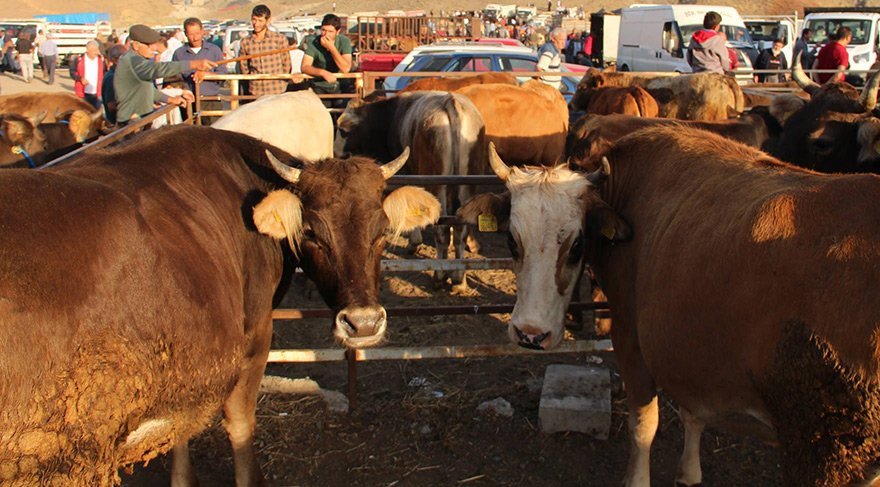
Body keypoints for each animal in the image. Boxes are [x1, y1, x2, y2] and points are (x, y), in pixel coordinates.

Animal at [0, 125, 440, 484]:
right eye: (312, 232)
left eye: (382, 230)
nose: (363, 324)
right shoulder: (255, 335)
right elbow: (240, 421)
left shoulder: (181, 363)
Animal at [458, 127, 880, 486]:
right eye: (511, 241)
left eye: (577, 245)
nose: (530, 334)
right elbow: (692, 412)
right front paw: (689, 472)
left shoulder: (631, 339)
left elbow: (644, 425)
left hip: (826, 451)